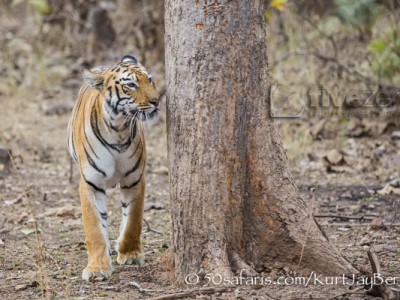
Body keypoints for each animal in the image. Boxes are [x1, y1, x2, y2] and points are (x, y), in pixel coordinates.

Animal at [67, 54, 159, 282]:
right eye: (131, 85)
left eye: (150, 80)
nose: (157, 101)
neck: (119, 128)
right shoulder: (90, 182)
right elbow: (94, 227)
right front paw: (97, 268)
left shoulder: (134, 179)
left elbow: (133, 220)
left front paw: (131, 254)